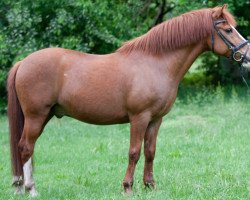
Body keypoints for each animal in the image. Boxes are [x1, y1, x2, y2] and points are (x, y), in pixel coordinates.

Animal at [6, 4, 249, 197]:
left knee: (27, 148)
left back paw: (20, 186)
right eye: (228, 29)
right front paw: (128, 187)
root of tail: (23, 62)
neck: (155, 63)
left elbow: (150, 152)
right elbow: (134, 152)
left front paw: (150, 186)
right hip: (36, 116)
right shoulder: (139, 118)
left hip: (44, 116)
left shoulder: (155, 119)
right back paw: (30, 189)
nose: (247, 56)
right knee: (25, 148)